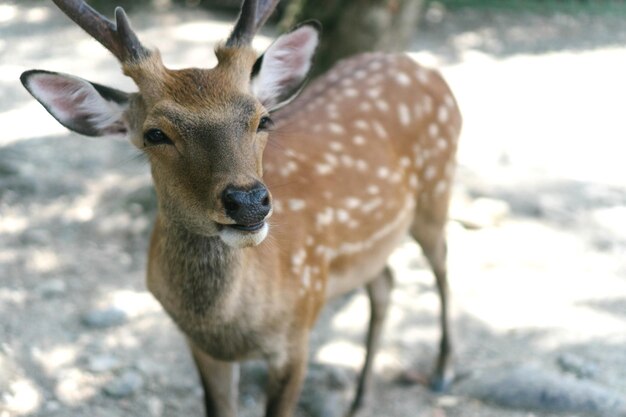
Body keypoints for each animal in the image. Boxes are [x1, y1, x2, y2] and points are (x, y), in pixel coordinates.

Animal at [20, 0, 458, 416]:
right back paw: (360, 399)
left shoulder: (298, 331)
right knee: (384, 281)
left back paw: (442, 370)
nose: (247, 201)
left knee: (440, 264)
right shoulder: (201, 347)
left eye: (263, 119)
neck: (228, 325)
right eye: (155, 133)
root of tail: (423, 68)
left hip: (437, 190)